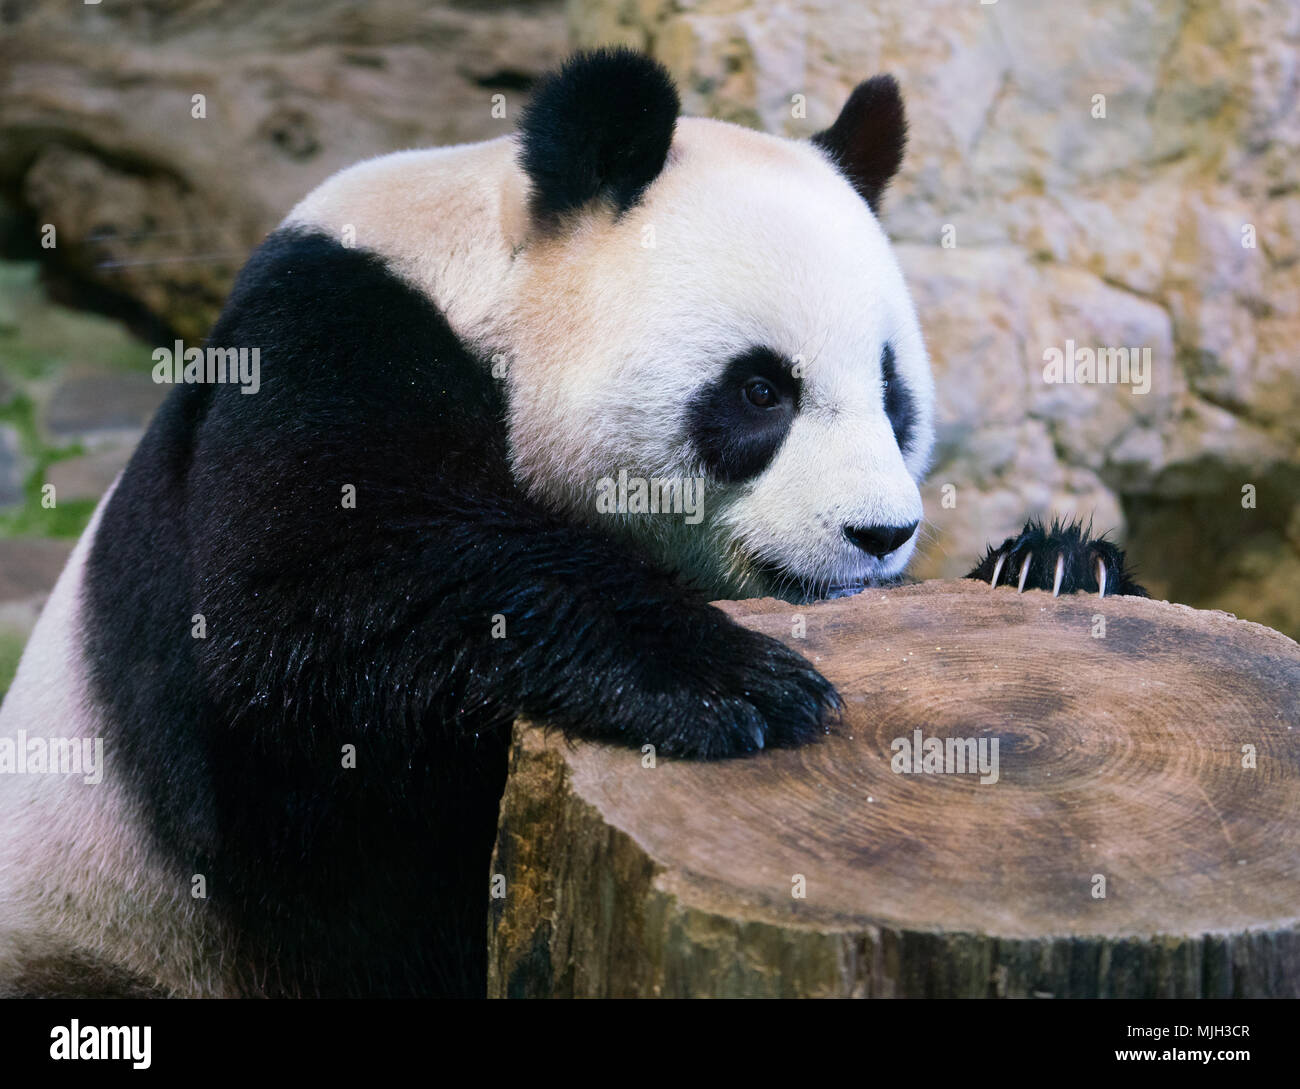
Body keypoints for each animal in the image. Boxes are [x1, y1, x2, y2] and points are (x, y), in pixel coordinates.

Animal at [0, 48, 1144, 999]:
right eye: (761, 392)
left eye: (892, 391)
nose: (880, 535)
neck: (484, 280)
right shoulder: (326, 335)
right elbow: (301, 609)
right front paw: (735, 681)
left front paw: (1055, 568)